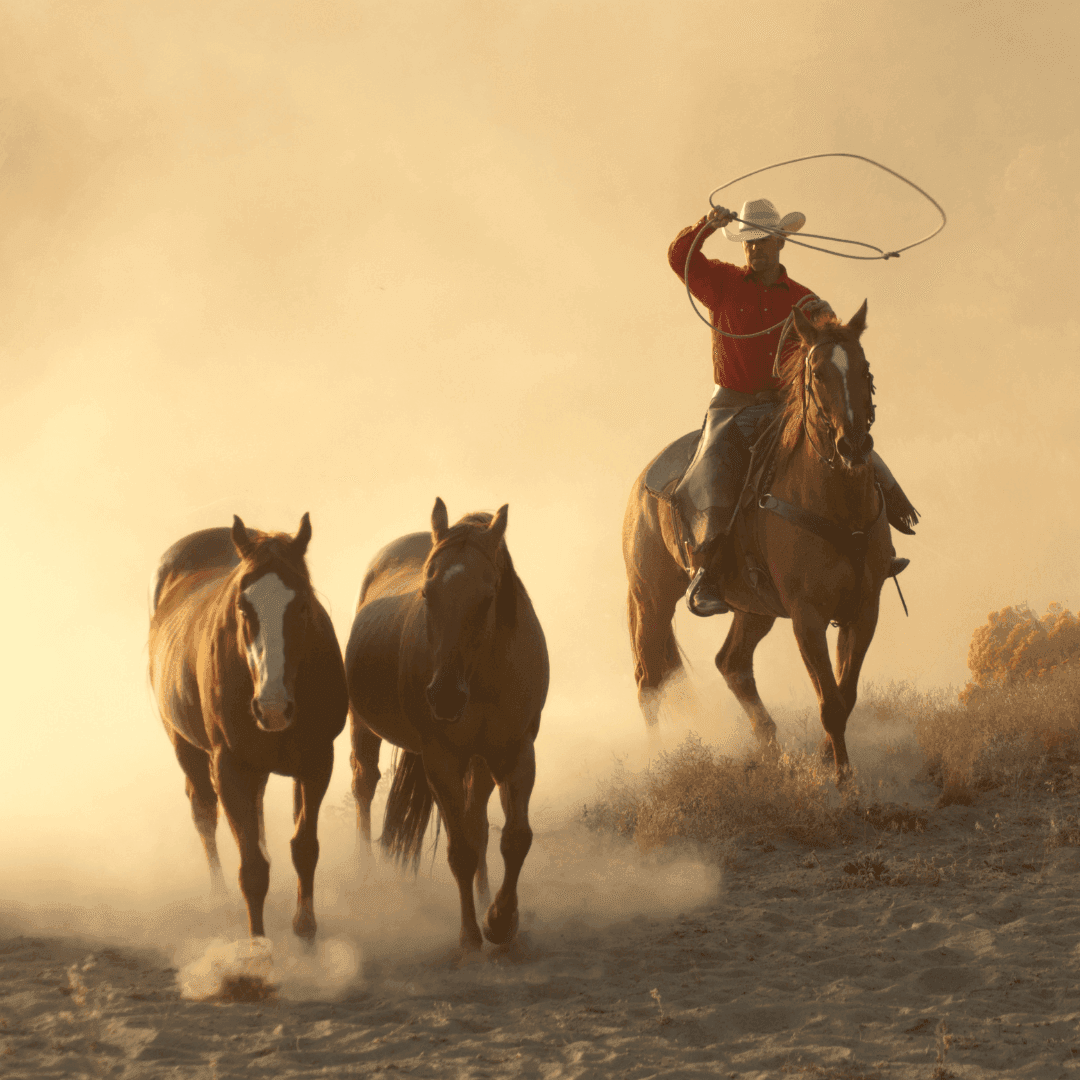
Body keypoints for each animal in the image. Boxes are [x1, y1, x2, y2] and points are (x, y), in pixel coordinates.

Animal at [149, 511, 345, 937]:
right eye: (242, 607)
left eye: (303, 605)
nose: (272, 707)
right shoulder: (230, 767)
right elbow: (252, 869)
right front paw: (258, 946)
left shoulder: (318, 761)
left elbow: (305, 848)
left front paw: (305, 927)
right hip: (184, 746)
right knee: (204, 813)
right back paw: (219, 897)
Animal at [345, 501, 548, 950]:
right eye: (427, 593)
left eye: (487, 598)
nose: (444, 696)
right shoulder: (440, 759)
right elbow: (461, 852)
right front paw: (470, 934)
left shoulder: (515, 753)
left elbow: (514, 837)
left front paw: (501, 919)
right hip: (364, 728)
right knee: (364, 785)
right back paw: (365, 878)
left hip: (479, 762)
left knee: (477, 822)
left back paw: (485, 896)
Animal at [626, 300, 894, 781]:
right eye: (818, 373)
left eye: (864, 368)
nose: (853, 445)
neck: (834, 504)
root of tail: (642, 484)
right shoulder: (807, 615)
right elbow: (830, 702)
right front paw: (841, 779)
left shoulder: (864, 608)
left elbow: (845, 696)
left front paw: (830, 761)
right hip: (650, 600)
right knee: (649, 681)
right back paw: (660, 761)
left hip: (754, 609)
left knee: (731, 663)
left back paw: (771, 747)